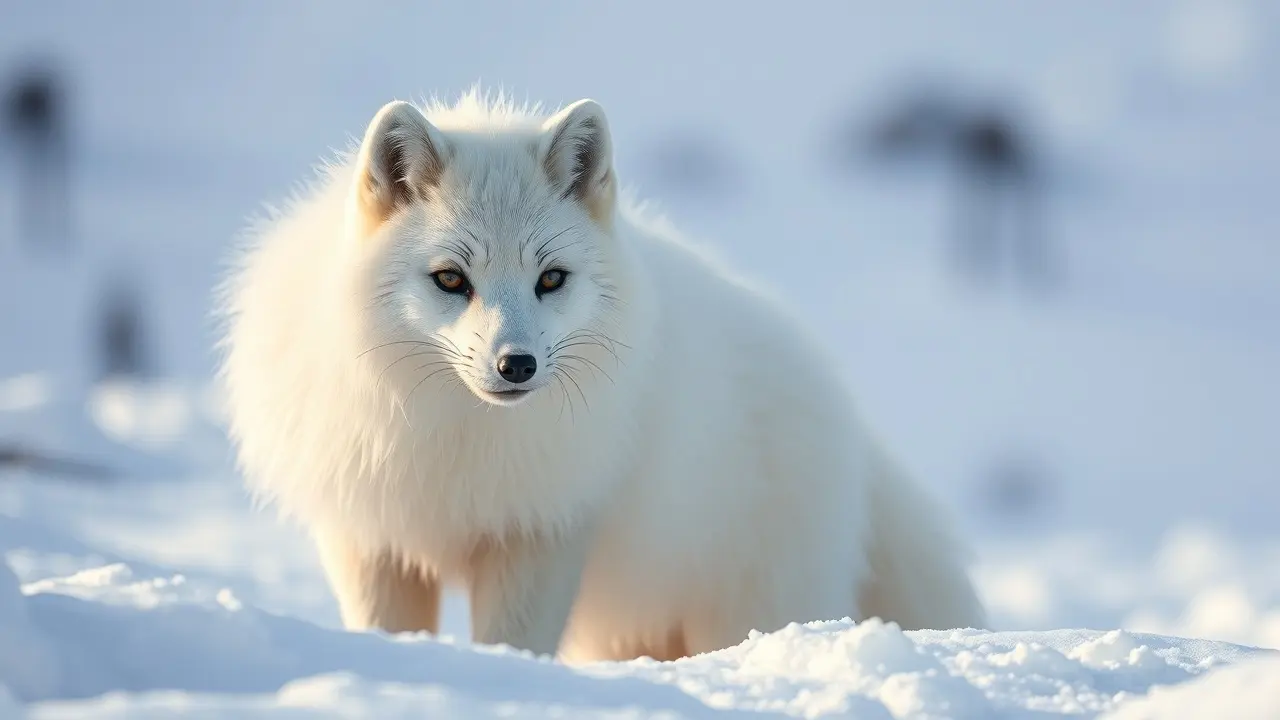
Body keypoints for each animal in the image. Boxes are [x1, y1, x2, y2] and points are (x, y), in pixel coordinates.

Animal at [216, 88, 986, 662]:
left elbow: (515, 642)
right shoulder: (372, 537)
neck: (455, 442)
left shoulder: (541, 532)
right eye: (451, 279)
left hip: (741, 601)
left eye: (551, 279)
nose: (516, 364)